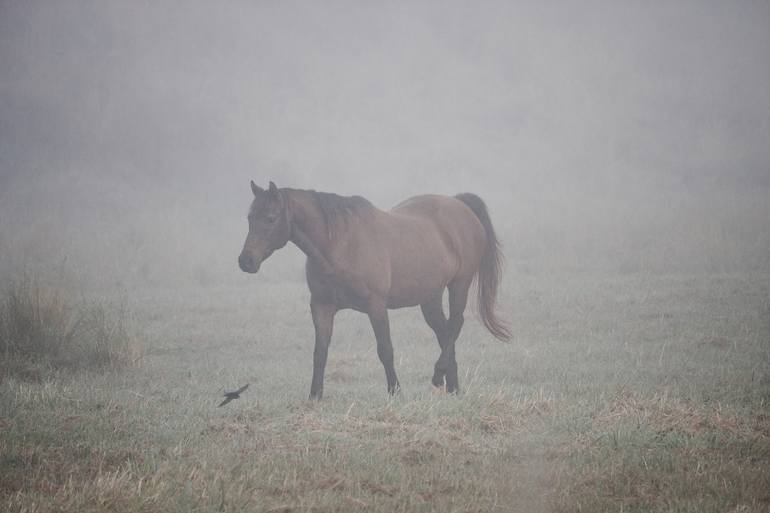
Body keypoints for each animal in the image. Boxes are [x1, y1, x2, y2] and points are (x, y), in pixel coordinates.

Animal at [237, 181, 508, 400]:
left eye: (271, 218)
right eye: (249, 218)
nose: (245, 261)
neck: (340, 244)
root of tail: (460, 205)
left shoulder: (376, 305)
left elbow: (385, 349)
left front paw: (395, 392)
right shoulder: (321, 306)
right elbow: (320, 352)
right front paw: (315, 395)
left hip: (459, 285)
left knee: (455, 325)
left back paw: (438, 375)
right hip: (430, 297)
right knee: (445, 332)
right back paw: (452, 388)